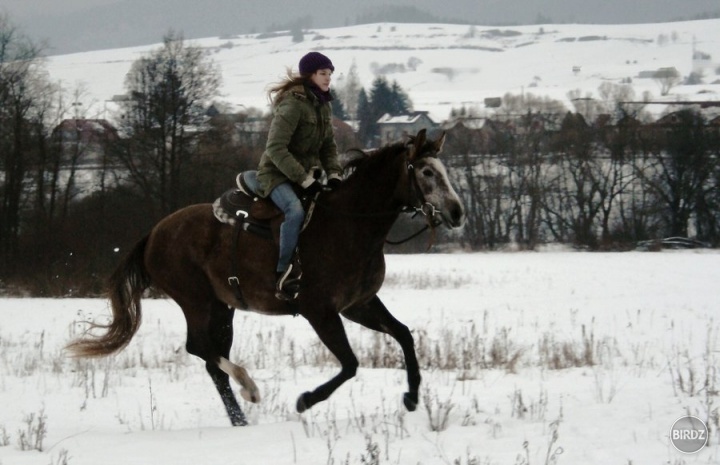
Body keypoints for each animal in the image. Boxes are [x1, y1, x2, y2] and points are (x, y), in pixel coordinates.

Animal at [64, 129, 464, 426]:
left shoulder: (358, 305)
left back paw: (240, 418)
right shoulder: (321, 312)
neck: (350, 226)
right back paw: (250, 387)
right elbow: (350, 363)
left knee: (213, 361)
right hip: (195, 300)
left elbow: (404, 335)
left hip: (222, 308)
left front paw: (411, 396)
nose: (457, 212)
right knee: (200, 348)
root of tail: (154, 233)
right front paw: (305, 401)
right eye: (425, 172)